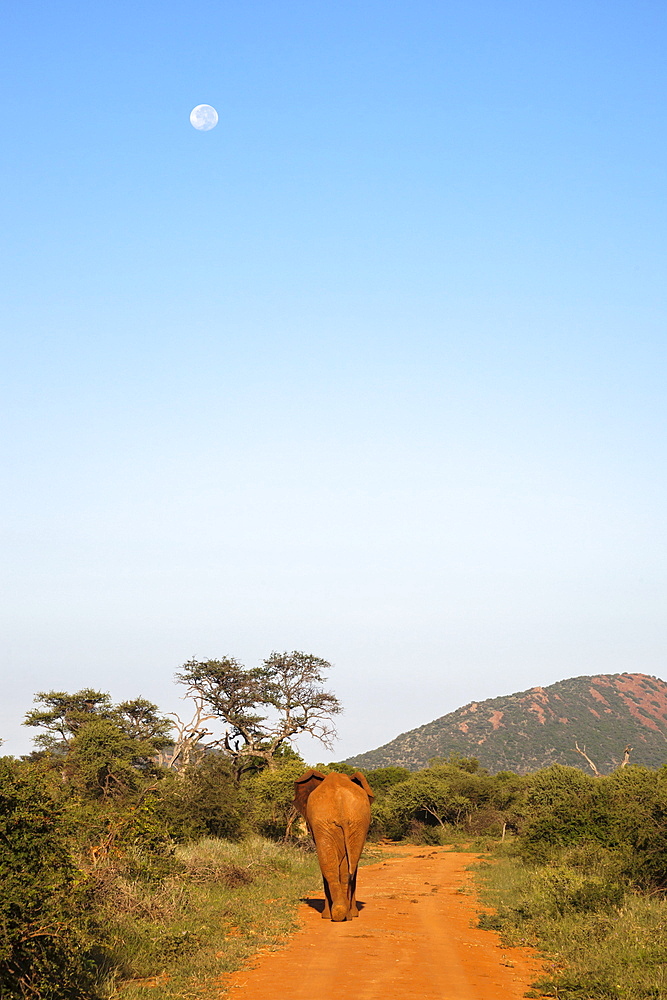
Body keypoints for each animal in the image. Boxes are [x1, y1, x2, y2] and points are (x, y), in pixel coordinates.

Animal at [294, 772, 374, 920]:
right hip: (350, 823)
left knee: (334, 865)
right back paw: (341, 913)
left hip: (336, 823)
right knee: (340, 867)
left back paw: (340, 913)